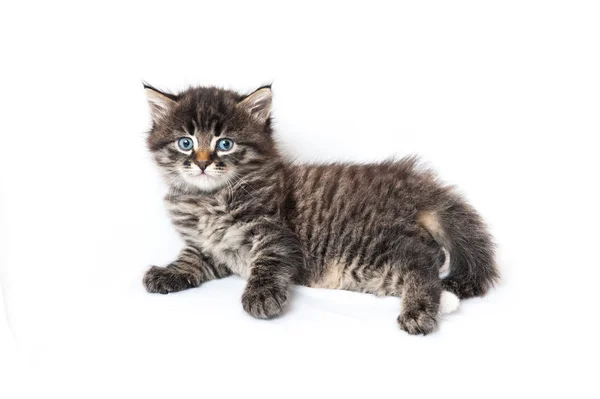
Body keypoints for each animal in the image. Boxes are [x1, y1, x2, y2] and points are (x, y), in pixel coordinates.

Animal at [142, 83, 496, 334]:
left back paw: (418, 312)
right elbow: (191, 260)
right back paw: (443, 301)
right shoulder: (211, 248)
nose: (202, 164)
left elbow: (268, 262)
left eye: (225, 144)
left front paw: (260, 295)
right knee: (430, 259)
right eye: (185, 142)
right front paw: (167, 273)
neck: (209, 199)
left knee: (422, 262)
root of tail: (413, 185)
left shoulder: (276, 234)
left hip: (369, 244)